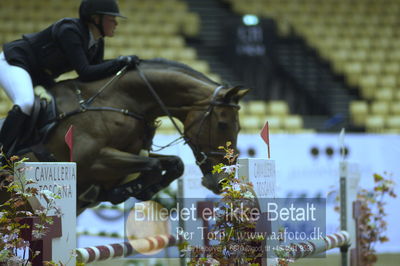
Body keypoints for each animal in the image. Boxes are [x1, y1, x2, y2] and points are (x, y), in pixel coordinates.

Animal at [1, 58, 248, 216]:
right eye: (223, 124)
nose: (222, 181)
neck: (123, 102)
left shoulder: (133, 153)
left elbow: (174, 164)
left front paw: (140, 190)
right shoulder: (91, 160)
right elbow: (153, 165)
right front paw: (122, 192)